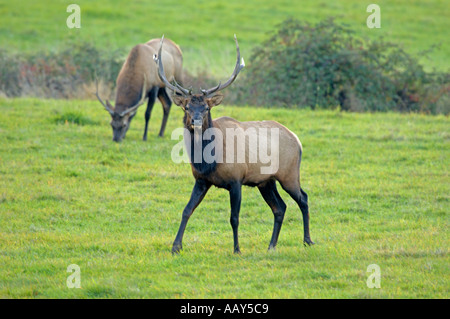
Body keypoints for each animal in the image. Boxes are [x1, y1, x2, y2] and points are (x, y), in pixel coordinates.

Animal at [155, 35, 312, 255]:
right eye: (186, 107)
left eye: (206, 108)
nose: (195, 121)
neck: (208, 161)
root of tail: (297, 140)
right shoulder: (201, 180)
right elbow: (187, 210)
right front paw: (176, 247)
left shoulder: (236, 180)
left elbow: (234, 218)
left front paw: (237, 249)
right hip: (266, 181)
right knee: (280, 207)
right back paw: (271, 245)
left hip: (289, 174)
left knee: (303, 198)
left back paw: (307, 240)